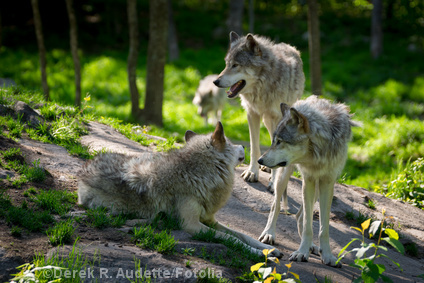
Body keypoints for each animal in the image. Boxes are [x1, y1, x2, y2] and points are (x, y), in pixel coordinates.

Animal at [78, 122, 282, 258]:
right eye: (230, 143)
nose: (244, 146)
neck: (197, 174)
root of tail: (85, 167)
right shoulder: (192, 225)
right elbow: (232, 239)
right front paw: (261, 254)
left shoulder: (210, 220)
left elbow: (244, 235)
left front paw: (270, 249)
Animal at [215, 31, 304, 211]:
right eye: (227, 64)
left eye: (236, 65)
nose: (216, 81)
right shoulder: (252, 113)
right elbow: (254, 147)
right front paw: (252, 172)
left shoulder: (278, 118)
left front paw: (273, 182)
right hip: (267, 121)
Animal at [255, 96, 362, 268]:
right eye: (274, 141)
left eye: (280, 141)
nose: (260, 160)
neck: (318, 152)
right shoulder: (309, 179)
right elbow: (307, 225)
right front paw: (301, 252)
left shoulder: (327, 181)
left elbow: (323, 227)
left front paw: (327, 255)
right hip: (284, 176)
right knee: (275, 206)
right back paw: (269, 234)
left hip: (317, 188)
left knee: (299, 215)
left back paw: (313, 246)